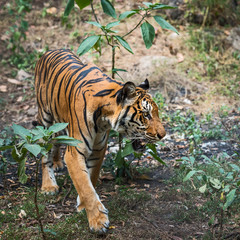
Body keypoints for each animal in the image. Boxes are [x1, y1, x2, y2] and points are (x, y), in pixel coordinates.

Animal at [34, 49, 165, 234]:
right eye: (146, 115)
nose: (163, 134)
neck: (104, 117)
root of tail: (49, 51)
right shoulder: (75, 153)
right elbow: (85, 185)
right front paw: (98, 221)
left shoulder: (98, 149)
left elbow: (91, 178)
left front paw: (82, 205)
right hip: (45, 120)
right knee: (45, 151)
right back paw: (48, 186)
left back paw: (57, 163)